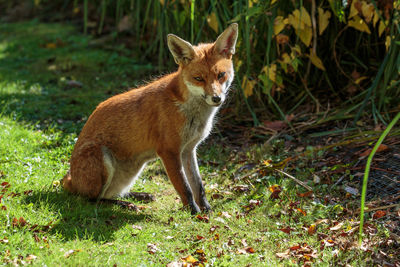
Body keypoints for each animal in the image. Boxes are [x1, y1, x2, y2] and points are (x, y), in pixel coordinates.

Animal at [62, 23, 238, 216]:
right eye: (198, 78)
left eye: (221, 75)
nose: (216, 98)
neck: (192, 113)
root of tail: (69, 180)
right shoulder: (168, 151)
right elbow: (185, 187)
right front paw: (193, 212)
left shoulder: (188, 150)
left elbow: (198, 185)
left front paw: (206, 210)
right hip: (102, 158)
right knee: (92, 200)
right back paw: (126, 205)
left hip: (132, 171)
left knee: (110, 193)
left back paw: (138, 196)